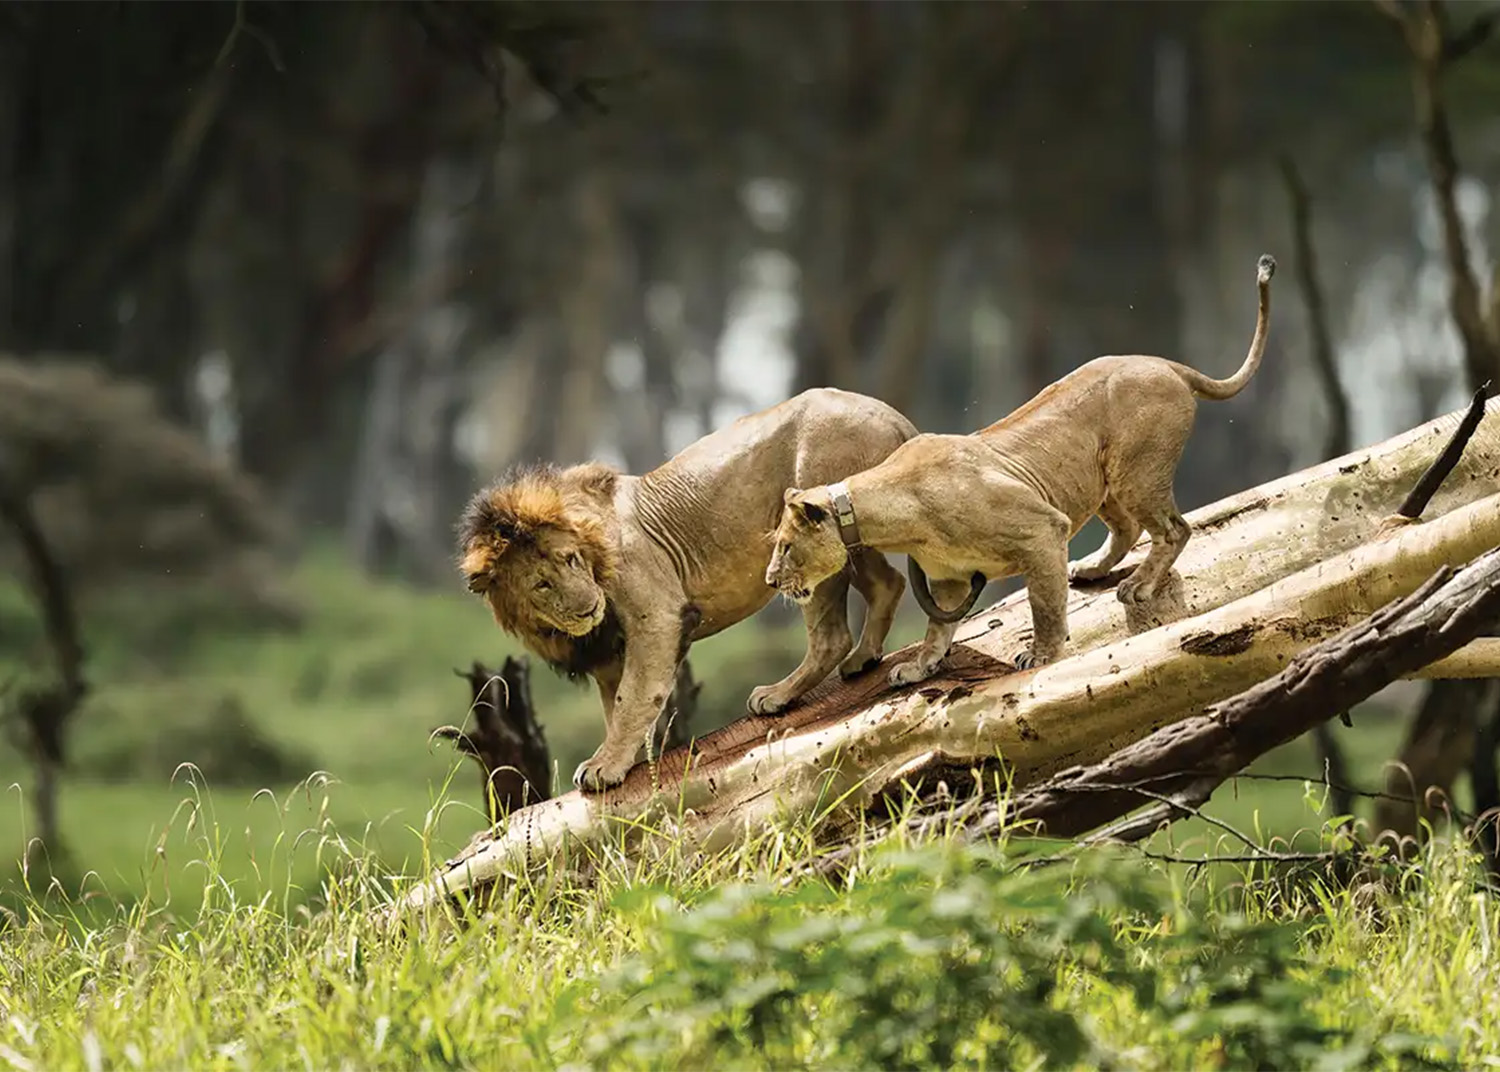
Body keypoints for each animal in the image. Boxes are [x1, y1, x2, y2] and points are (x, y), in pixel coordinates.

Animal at [458, 388, 918, 792]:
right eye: (541, 583)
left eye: (570, 559)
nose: (589, 606)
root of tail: (896, 418)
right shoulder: (607, 655)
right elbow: (617, 707)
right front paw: (630, 758)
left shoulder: (656, 615)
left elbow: (631, 699)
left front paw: (604, 766)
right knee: (888, 584)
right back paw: (863, 659)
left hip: (812, 544)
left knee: (831, 637)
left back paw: (778, 694)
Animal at [767, 253, 1276, 686]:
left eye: (787, 547)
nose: (771, 580)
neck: (890, 517)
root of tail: (1163, 362)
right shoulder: (950, 579)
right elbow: (938, 628)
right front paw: (921, 667)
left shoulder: (1042, 529)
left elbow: (1043, 603)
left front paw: (1043, 654)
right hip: (1103, 481)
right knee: (1130, 529)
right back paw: (1090, 568)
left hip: (1136, 472)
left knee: (1174, 529)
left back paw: (1138, 586)